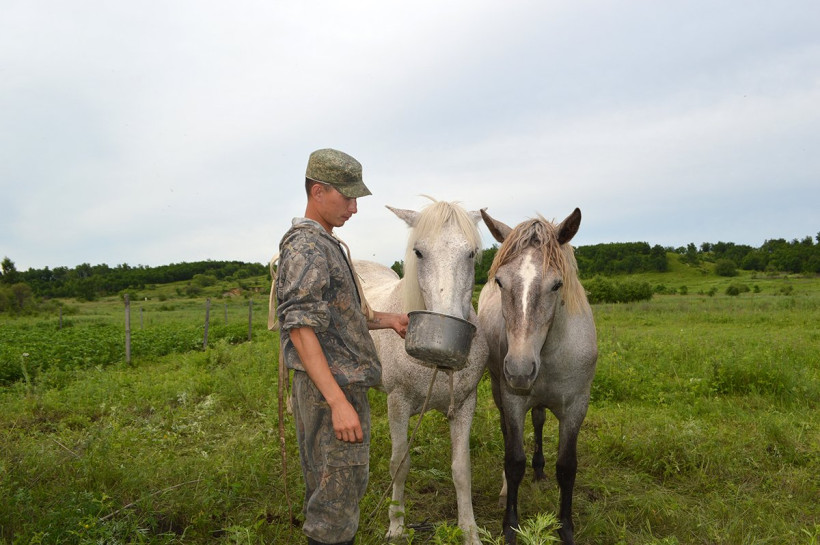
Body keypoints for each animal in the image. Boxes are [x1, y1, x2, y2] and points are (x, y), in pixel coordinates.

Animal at [354, 198, 489, 545]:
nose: (446, 321)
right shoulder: (398, 403)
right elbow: (399, 465)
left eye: (471, 253)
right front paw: (396, 525)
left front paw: (470, 530)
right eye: (418, 252)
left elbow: (461, 469)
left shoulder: (465, 404)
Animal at [477, 208, 597, 545]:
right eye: (500, 282)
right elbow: (514, 461)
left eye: (557, 285)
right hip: (498, 389)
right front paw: (510, 527)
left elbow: (567, 467)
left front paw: (565, 528)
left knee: (540, 420)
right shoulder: (513, 401)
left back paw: (540, 469)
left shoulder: (576, 406)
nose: (519, 369)